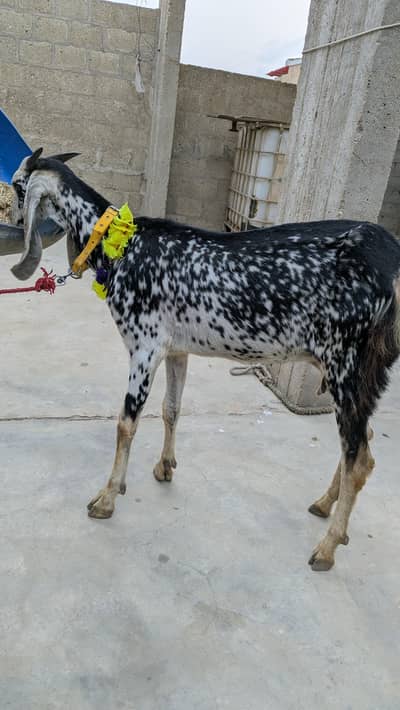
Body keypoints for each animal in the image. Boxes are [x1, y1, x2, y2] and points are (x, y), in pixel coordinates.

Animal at [11, 148, 400, 571]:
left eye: (18, 187)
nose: (15, 223)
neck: (123, 245)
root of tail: (392, 259)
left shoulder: (145, 345)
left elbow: (126, 425)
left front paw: (107, 497)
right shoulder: (176, 348)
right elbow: (171, 408)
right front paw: (165, 468)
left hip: (348, 362)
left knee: (359, 458)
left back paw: (327, 547)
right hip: (356, 370)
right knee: (361, 442)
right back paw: (325, 504)